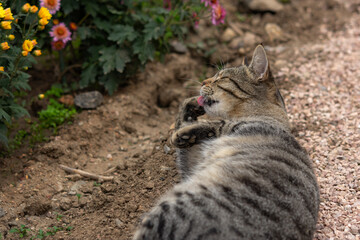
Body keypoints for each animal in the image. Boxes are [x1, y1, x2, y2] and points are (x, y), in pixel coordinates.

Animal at [134, 45, 320, 240]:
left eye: (221, 77)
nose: (203, 82)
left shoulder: (235, 127)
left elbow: (214, 124)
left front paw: (182, 133)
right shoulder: (191, 162)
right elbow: (184, 115)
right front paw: (192, 105)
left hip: (173, 208)